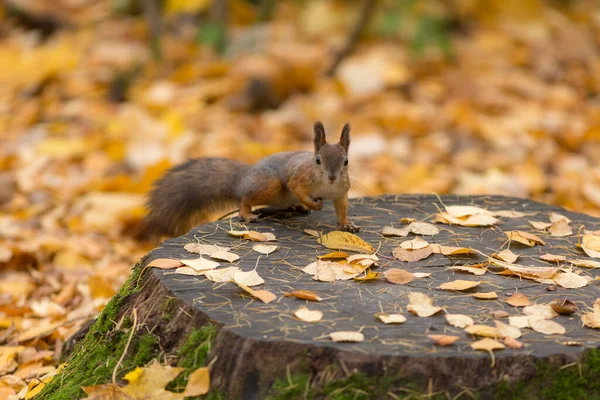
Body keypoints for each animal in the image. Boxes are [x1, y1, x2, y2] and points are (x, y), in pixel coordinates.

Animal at [143, 120, 358, 236]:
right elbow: (298, 189)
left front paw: (347, 224)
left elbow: (341, 208)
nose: (332, 176)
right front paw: (315, 204)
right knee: (244, 199)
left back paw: (296, 207)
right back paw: (246, 214)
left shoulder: (340, 192)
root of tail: (241, 181)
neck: (326, 186)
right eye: (318, 160)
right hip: (270, 186)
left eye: (346, 161)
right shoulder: (299, 178)